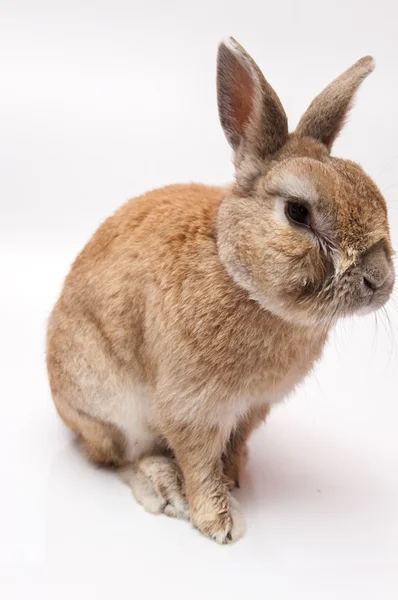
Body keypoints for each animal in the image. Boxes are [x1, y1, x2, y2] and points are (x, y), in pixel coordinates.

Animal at [46, 37, 394, 544]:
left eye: (373, 192)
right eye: (297, 212)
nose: (380, 280)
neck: (239, 276)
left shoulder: (252, 409)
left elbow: (231, 447)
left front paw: (235, 477)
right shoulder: (191, 408)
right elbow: (198, 463)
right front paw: (218, 522)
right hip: (108, 403)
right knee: (117, 455)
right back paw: (164, 489)